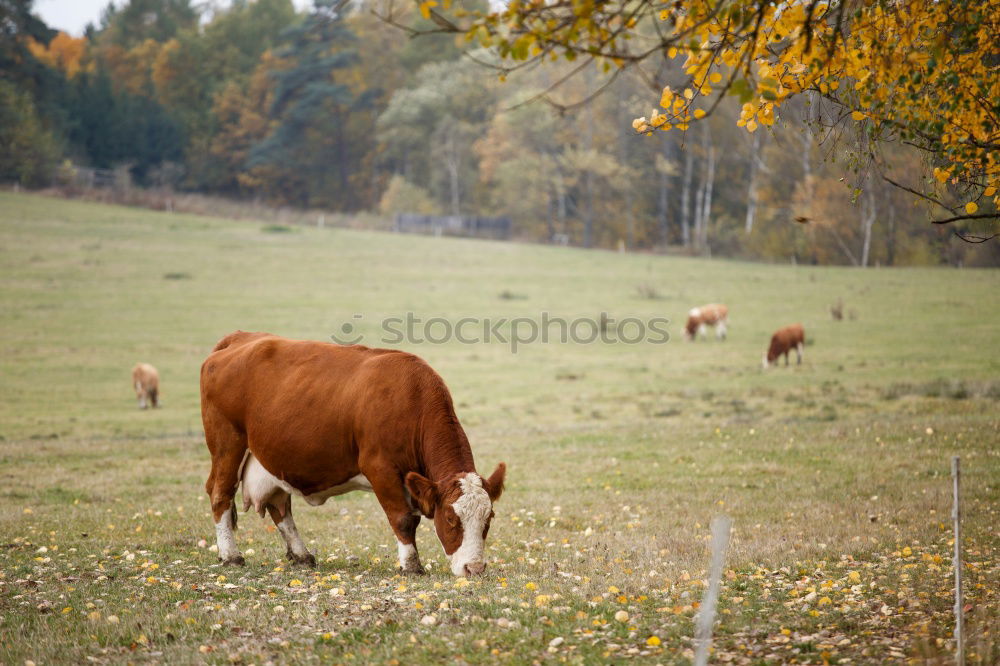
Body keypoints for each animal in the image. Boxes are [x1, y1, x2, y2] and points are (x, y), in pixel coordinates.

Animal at [199, 332, 508, 576]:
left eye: (488, 519)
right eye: (451, 519)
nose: (475, 568)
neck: (410, 401)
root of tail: (240, 338)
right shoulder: (380, 468)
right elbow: (404, 518)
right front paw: (411, 566)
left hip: (271, 458)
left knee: (280, 505)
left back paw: (301, 555)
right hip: (228, 445)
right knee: (220, 494)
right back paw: (231, 556)